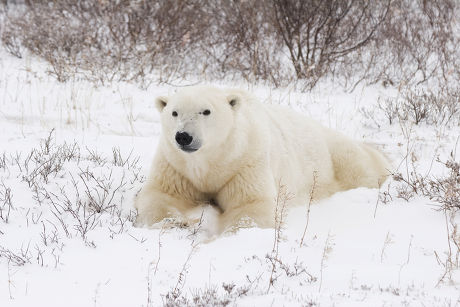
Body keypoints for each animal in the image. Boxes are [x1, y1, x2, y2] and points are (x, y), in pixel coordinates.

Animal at [135, 85, 390, 232]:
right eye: (174, 112)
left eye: (205, 111)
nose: (183, 136)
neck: (214, 160)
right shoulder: (176, 166)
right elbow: (161, 196)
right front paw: (178, 222)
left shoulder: (245, 162)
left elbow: (250, 205)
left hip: (336, 154)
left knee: (361, 166)